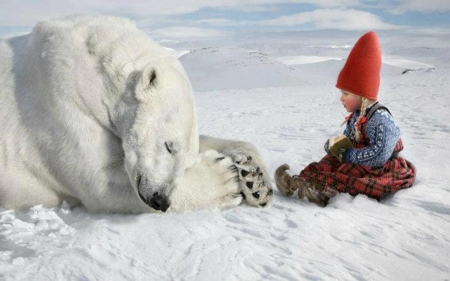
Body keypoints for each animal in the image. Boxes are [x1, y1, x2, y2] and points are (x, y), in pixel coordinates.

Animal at [0, 15, 274, 212]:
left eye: (186, 163)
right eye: (168, 145)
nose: (161, 200)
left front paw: (254, 179)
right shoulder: (59, 100)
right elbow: (101, 182)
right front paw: (225, 179)